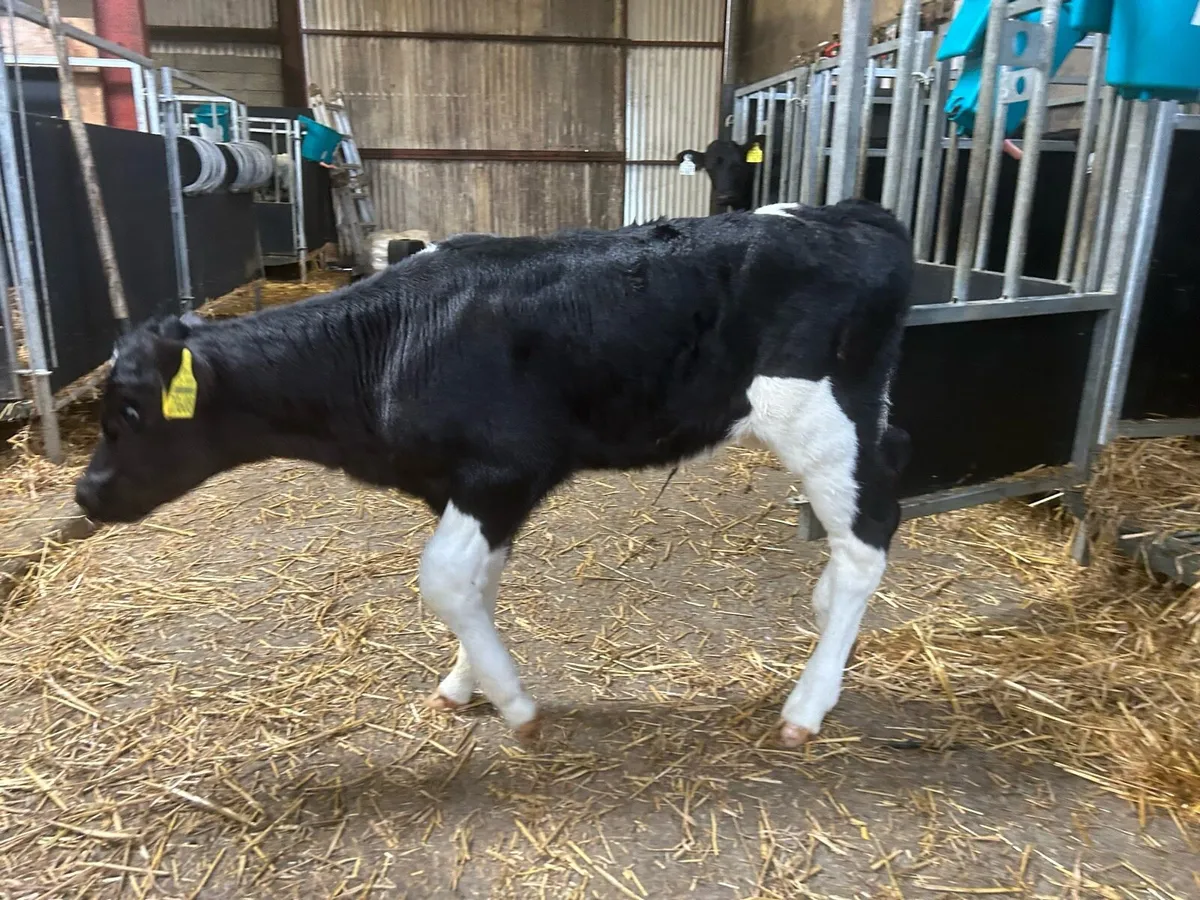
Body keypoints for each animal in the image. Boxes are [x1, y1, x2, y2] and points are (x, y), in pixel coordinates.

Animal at [74, 199, 914, 749]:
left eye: (133, 414)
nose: (85, 492)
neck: (390, 345)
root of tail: (855, 212)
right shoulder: (469, 488)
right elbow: (477, 584)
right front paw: (462, 683)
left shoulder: (504, 471)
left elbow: (444, 579)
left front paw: (514, 704)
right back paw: (823, 623)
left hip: (819, 418)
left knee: (869, 535)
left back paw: (808, 704)